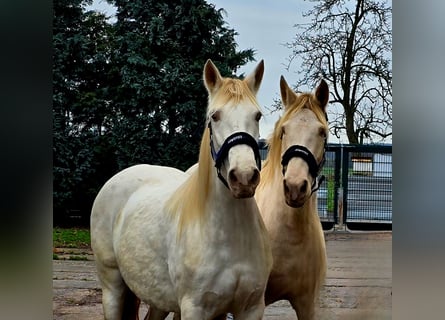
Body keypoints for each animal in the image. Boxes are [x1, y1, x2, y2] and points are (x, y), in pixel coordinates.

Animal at [89, 60, 270, 320]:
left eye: (257, 115)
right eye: (214, 116)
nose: (244, 177)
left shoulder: (251, 308)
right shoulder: (194, 308)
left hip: (159, 298)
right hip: (112, 287)